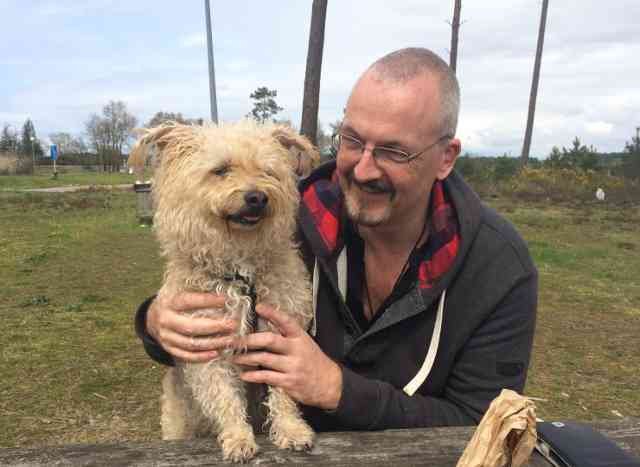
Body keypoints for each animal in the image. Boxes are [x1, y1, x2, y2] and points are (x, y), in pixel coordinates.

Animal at [131, 119, 320, 462]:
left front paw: (291, 429)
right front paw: (238, 437)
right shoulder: (205, 346)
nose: (257, 197)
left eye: (268, 172)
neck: (240, 274)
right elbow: (224, 396)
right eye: (220, 170)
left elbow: (283, 393)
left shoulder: (282, 339)